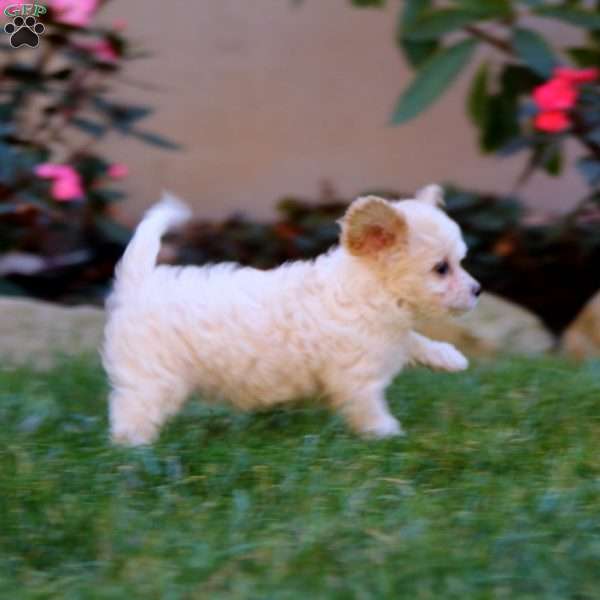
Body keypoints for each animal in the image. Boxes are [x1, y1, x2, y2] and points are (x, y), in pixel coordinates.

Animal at [102, 184, 478, 446]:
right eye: (441, 268)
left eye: (460, 261)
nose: (478, 290)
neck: (367, 290)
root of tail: (138, 283)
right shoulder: (355, 377)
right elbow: (368, 406)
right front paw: (387, 433)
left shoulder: (392, 335)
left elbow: (414, 341)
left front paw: (449, 357)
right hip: (153, 379)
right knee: (131, 412)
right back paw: (133, 451)